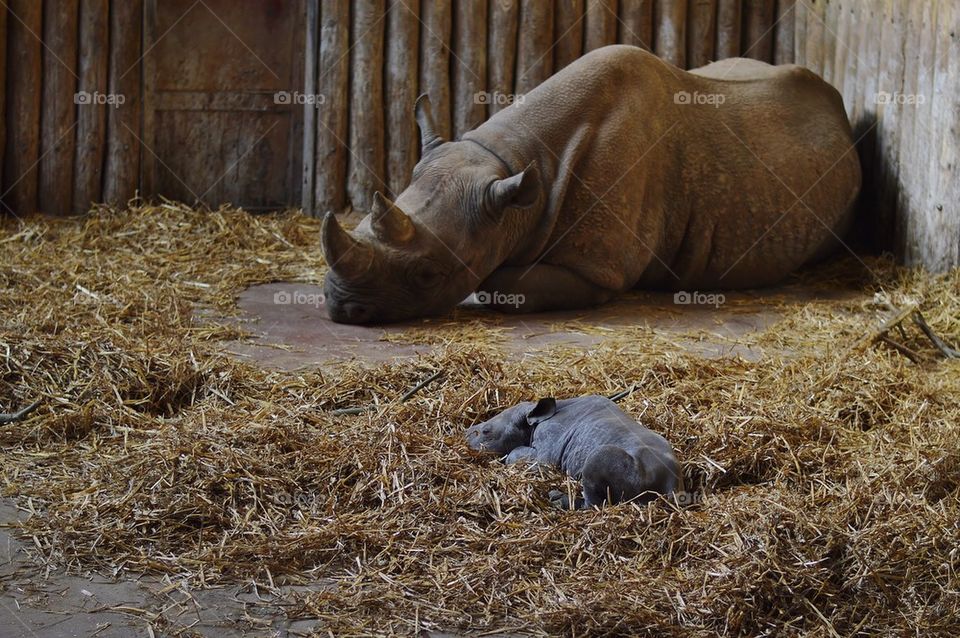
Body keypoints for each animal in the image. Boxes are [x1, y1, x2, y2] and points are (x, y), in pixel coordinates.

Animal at [466, 396, 681, 509]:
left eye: (485, 432)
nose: (465, 436)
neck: (531, 421)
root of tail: (672, 484)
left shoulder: (546, 452)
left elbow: (516, 454)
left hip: (630, 466)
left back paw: (556, 499)